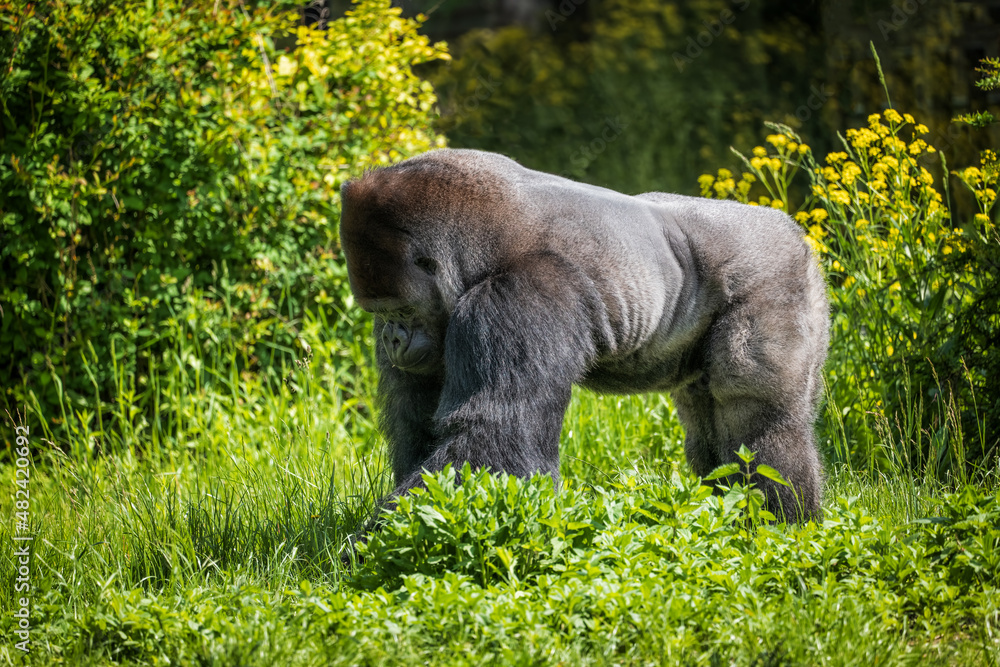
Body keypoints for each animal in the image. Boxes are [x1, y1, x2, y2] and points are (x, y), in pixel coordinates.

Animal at [339, 148, 829, 523]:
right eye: (381, 315)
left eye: (404, 311)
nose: (392, 340)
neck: (477, 247)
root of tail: (794, 231)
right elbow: (420, 426)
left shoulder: (518, 296)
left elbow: (491, 439)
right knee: (707, 421)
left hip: (776, 277)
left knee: (757, 420)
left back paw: (782, 519)